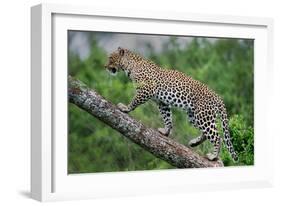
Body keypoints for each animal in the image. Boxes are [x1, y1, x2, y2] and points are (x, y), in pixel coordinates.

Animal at [104, 47, 237, 163]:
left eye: (110, 58)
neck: (129, 65)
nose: (104, 67)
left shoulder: (146, 90)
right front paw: (165, 132)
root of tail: (217, 97)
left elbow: (134, 101)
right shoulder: (162, 102)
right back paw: (194, 143)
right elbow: (167, 118)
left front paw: (125, 108)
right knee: (206, 133)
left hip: (203, 116)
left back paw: (213, 156)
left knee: (217, 136)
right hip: (194, 116)